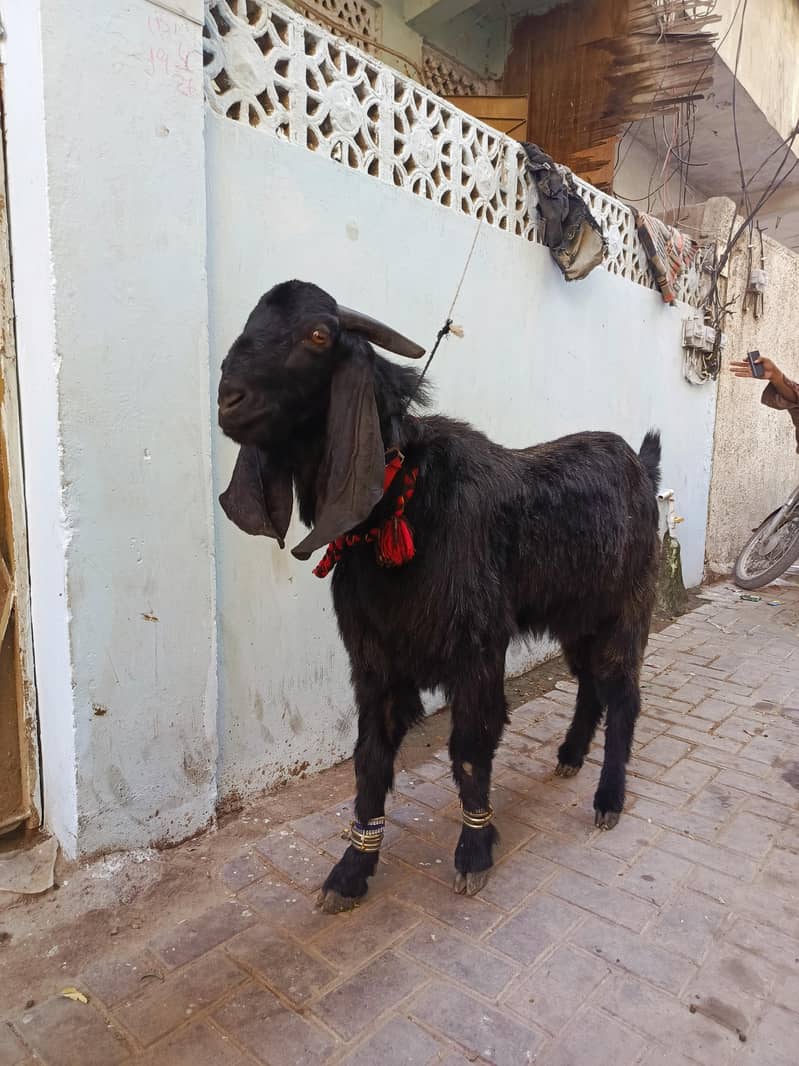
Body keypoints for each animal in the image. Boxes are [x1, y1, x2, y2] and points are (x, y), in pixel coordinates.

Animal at [217, 280, 662, 913]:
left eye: (318, 335)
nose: (229, 399)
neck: (401, 505)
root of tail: (642, 468)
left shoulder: (476, 652)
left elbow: (470, 749)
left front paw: (474, 853)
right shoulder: (374, 661)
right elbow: (370, 762)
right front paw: (351, 870)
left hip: (626, 607)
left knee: (623, 694)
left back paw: (608, 799)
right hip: (574, 616)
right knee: (590, 687)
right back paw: (570, 756)